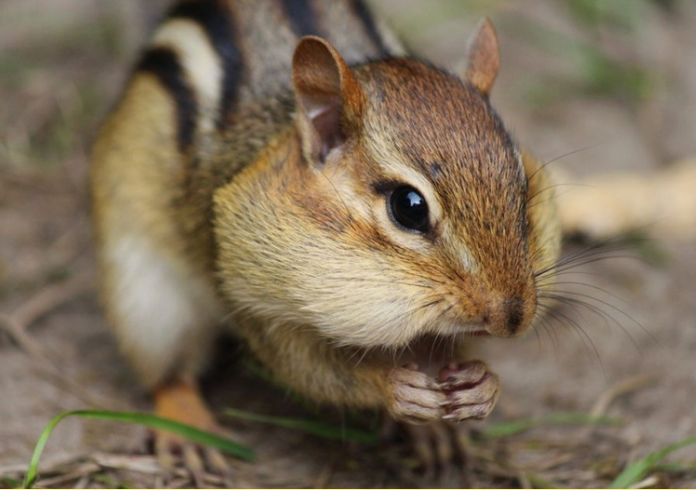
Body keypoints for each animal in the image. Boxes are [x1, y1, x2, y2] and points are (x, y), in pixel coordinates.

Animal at [90, 0, 562, 475]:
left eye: (523, 189)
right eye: (408, 207)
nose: (512, 318)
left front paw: (482, 386)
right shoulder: (256, 302)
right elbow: (308, 370)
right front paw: (394, 388)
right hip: (147, 295)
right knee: (168, 374)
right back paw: (188, 428)